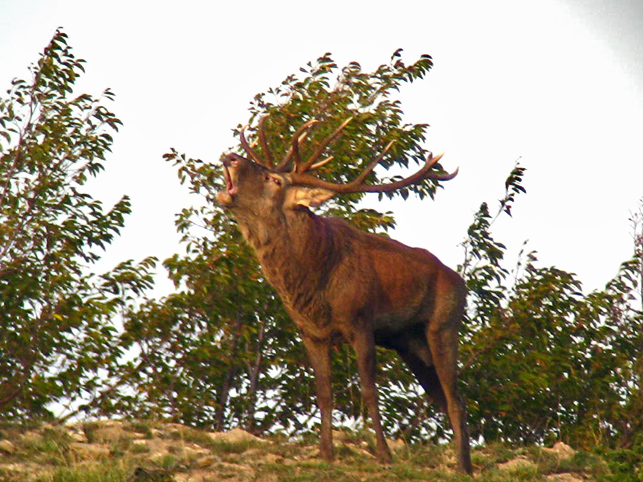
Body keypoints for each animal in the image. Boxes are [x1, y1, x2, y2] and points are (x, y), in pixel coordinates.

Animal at [216, 116, 472, 474]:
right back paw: (466, 464)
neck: (313, 286)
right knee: (449, 398)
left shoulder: (360, 322)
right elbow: (324, 392)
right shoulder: (310, 333)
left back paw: (462, 467)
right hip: (411, 346)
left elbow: (368, 390)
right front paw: (325, 452)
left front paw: (383, 454)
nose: (230, 157)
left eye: (273, 179)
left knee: (455, 398)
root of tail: (461, 283)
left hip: (444, 325)